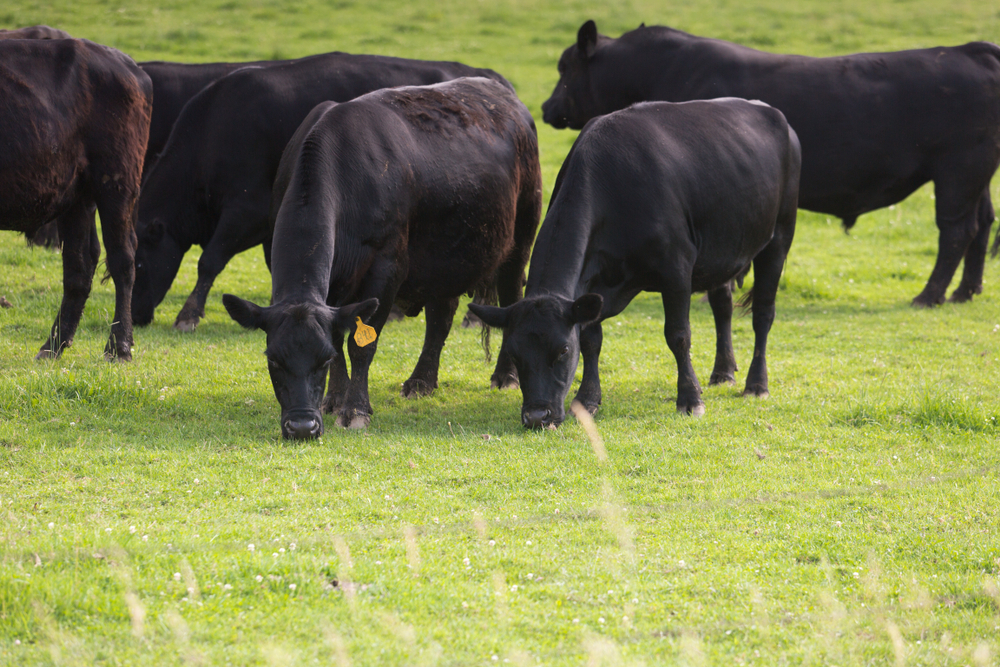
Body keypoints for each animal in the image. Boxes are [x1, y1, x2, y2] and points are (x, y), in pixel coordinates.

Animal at [0, 39, 152, 362]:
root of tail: (126, 64)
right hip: (77, 197)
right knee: (80, 265)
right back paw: (53, 346)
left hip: (116, 184)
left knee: (122, 260)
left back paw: (119, 346)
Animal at [224, 78, 544, 440]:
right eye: (273, 360)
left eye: (320, 361)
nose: (302, 426)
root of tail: (500, 90)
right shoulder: (335, 290)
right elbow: (339, 339)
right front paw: (335, 398)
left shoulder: (386, 269)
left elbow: (361, 346)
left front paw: (355, 409)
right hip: (444, 261)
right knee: (440, 318)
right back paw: (421, 380)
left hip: (519, 241)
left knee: (511, 299)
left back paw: (506, 375)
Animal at [466, 98, 796, 428]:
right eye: (514, 354)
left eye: (562, 350)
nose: (536, 416)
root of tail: (770, 110)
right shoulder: (594, 285)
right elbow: (591, 339)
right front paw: (587, 399)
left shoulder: (677, 267)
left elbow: (678, 335)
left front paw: (690, 399)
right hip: (722, 254)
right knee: (723, 306)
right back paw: (723, 372)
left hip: (778, 238)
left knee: (763, 314)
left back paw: (756, 384)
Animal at [544, 20, 1000, 308]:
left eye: (566, 67)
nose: (547, 107)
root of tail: (970, 50)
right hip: (974, 177)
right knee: (982, 224)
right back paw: (965, 292)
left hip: (958, 173)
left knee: (957, 231)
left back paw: (929, 296)